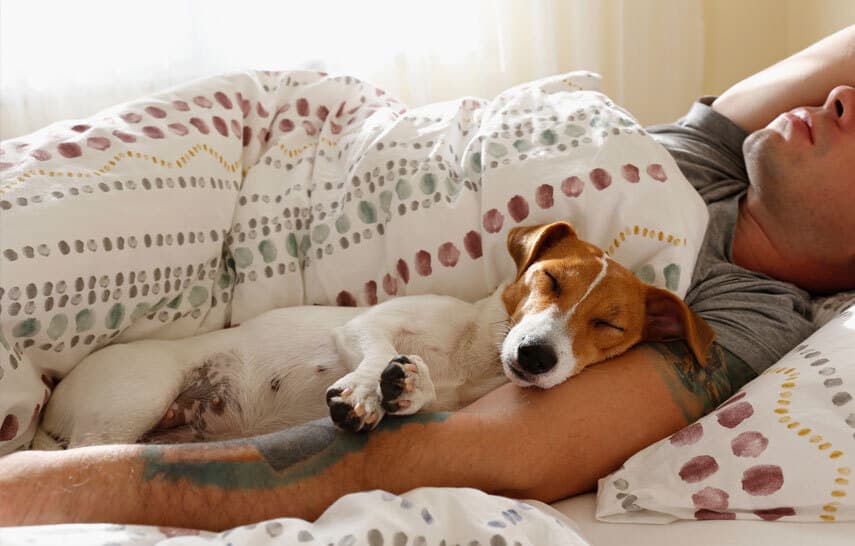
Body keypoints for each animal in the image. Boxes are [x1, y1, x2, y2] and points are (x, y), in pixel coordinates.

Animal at [33, 221, 716, 446]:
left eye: (609, 324)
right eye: (547, 279)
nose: (535, 354)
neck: (471, 355)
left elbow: (421, 387)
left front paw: (405, 389)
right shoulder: (367, 324)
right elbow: (379, 346)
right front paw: (367, 390)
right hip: (132, 402)